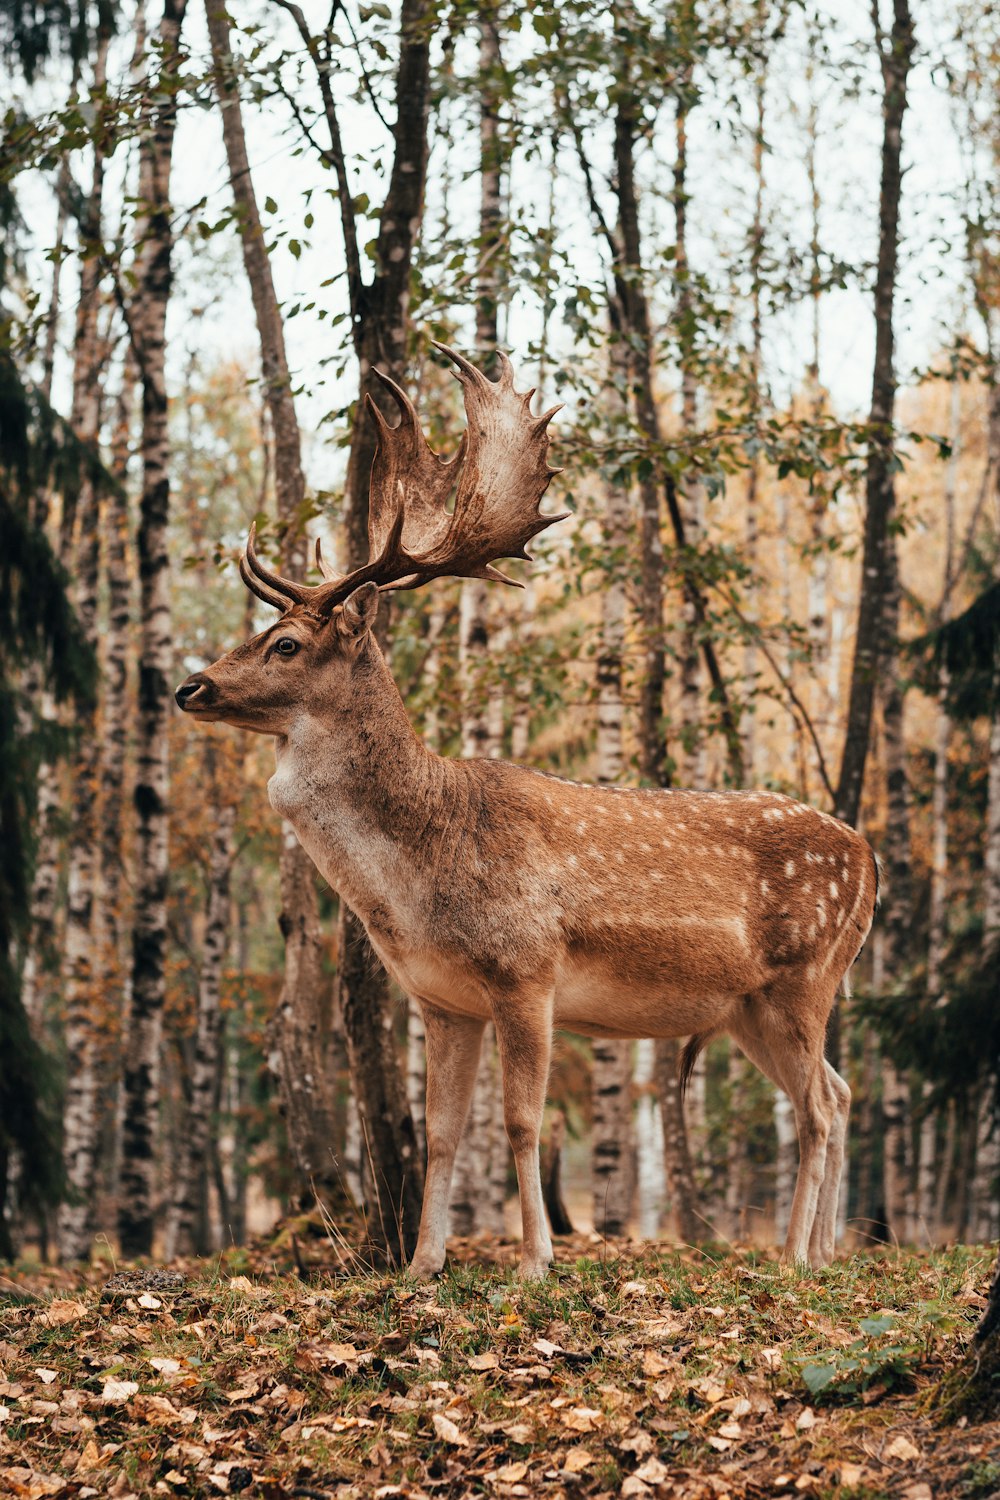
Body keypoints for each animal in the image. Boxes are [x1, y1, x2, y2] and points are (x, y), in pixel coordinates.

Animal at [177, 348, 875, 1278]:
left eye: (286, 643)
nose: (191, 687)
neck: (420, 878)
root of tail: (869, 856)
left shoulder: (527, 970)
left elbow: (519, 1122)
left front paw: (537, 1262)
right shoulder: (442, 1000)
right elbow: (439, 1134)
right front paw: (423, 1265)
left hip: (806, 974)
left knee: (821, 1108)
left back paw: (796, 1256)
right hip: (750, 1006)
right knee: (838, 1088)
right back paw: (827, 1252)